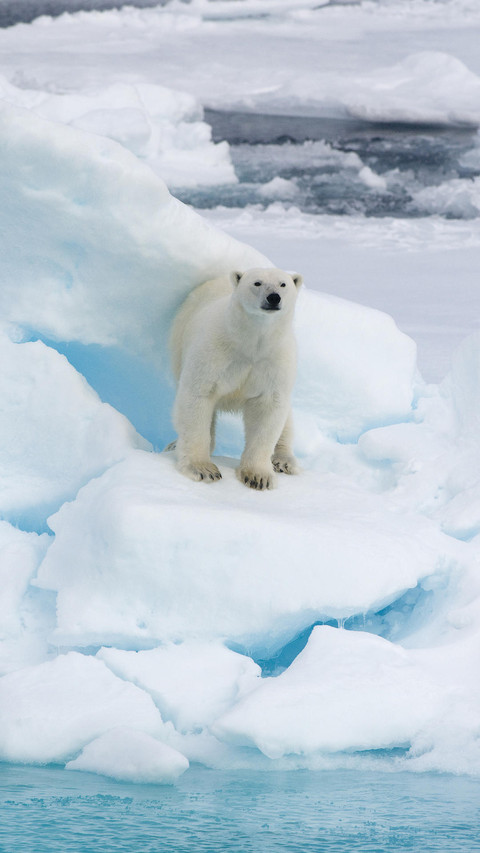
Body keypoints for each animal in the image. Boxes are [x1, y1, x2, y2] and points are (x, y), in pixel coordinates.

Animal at [168, 267, 303, 490]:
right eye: (257, 282)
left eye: (283, 284)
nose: (274, 297)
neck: (251, 343)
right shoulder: (215, 352)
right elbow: (198, 396)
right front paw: (203, 469)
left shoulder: (274, 362)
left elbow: (269, 408)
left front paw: (258, 477)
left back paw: (284, 461)